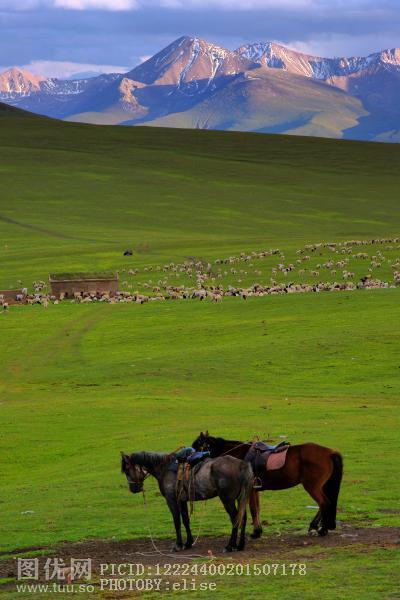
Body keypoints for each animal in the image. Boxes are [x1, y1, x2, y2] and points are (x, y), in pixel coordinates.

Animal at [121, 450, 253, 552]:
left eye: (127, 471)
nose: (133, 489)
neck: (164, 469)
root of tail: (240, 464)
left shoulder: (172, 500)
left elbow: (177, 521)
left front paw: (178, 545)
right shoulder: (182, 500)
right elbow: (185, 520)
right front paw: (188, 543)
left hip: (227, 500)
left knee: (235, 518)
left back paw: (230, 546)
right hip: (240, 498)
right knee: (243, 518)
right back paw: (240, 545)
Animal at [192, 432, 343, 538]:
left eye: (196, 446)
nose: (189, 462)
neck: (239, 456)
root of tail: (330, 452)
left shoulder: (250, 489)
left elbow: (253, 509)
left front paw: (256, 532)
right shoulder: (255, 489)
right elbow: (257, 509)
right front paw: (258, 530)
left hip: (312, 486)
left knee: (324, 503)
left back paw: (322, 529)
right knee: (324, 504)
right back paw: (315, 526)